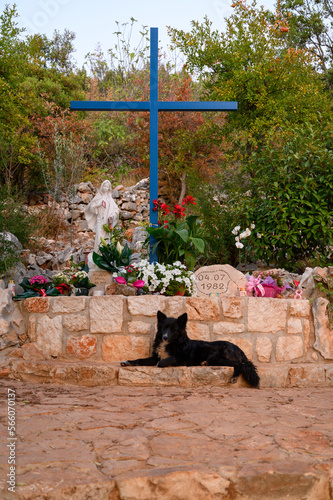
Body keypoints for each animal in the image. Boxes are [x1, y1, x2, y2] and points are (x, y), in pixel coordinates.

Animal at [120, 310, 260, 388]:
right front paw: (128, 362)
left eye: (174, 330)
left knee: (240, 364)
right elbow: (140, 360)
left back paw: (234, 376)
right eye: (164, 328)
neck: (172, 343)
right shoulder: (154, 357)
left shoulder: (185, 360)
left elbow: (168, 359)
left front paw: (162, 363)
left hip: (215, 357)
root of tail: (239, 350)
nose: (164, 337)